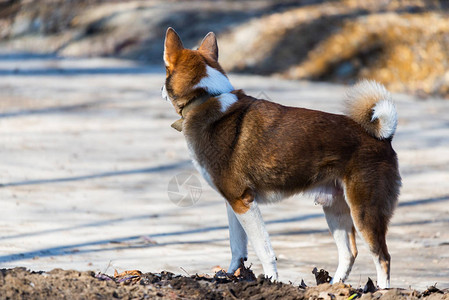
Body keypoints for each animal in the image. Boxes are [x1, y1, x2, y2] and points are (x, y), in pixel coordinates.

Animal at [161, 27, 400, 288]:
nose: (160, 90)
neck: (206, 97)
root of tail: (383, 138)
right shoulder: (233, 203)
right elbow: (237, 248)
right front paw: (230, 276)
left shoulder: (244, 202)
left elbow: (264, 249)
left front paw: (270, 280)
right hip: (335, 209)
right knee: (349, 253)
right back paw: (333, 286)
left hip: (364, 212)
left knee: (383, 257)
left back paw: (381, 290)